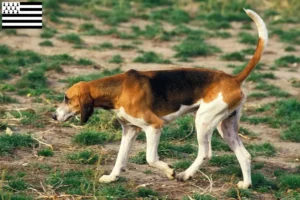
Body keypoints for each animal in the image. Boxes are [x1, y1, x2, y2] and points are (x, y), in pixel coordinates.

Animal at [51, 9, 268, 189]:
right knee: (244, 155)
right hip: (225, 127)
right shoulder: (129, 130)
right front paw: (112, 177)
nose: (53, 116)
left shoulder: (154, 126)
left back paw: (184, 174)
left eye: (67, 98)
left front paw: (169, 171)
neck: (117, 90)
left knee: (205, 153)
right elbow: (120, 158)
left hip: (203, 122)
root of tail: (234, 78)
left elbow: (151, 159)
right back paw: (245, 185)